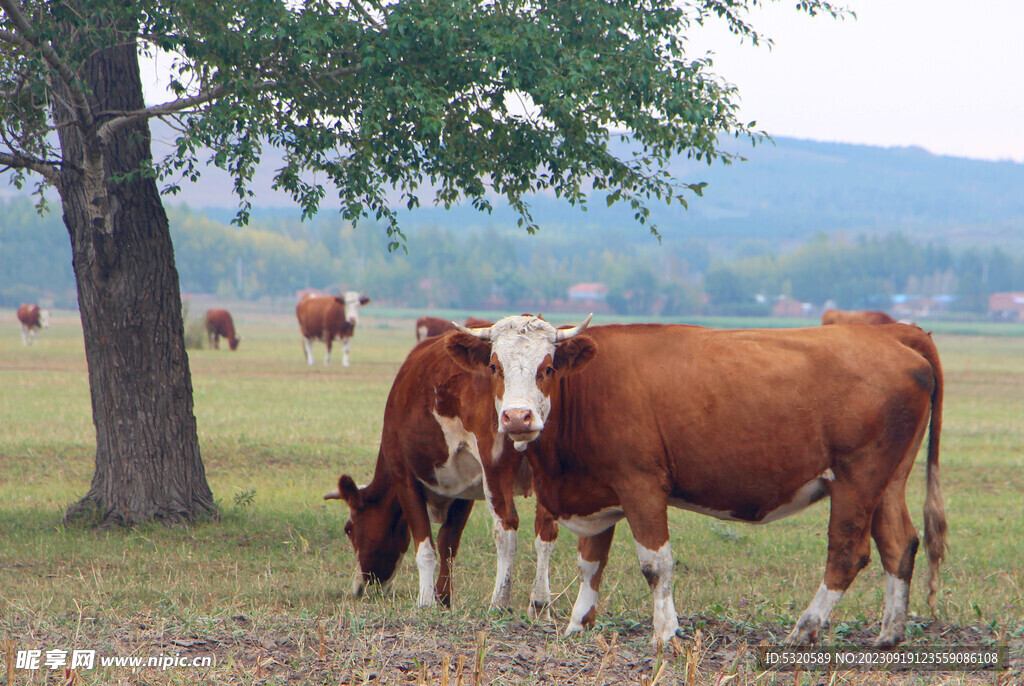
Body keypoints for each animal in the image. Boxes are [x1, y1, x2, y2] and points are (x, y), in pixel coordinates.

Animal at [321, 333, 557, 618]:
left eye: (349, 529)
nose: (359, 588)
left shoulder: (405, 477)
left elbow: (425, 545)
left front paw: (426, 600)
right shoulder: (466, 490)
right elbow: (448, 543)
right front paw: (444, 598)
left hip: (497, 472)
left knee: (507, 527)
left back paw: (499, 603)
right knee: (545, 529)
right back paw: (540, 604)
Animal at [444, 317, 946, 651]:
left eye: (547, 368)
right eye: (494, 366)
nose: (517, 418)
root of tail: (891, 333)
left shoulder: (641, 486)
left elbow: (656, 565)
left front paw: (665, 634)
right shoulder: (600, 493)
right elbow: (590, 563)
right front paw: (578, 625)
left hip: (857, 478)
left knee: (847, 552)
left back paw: (802, 630)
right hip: (888, 481)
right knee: (899, 543)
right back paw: (888, 634)